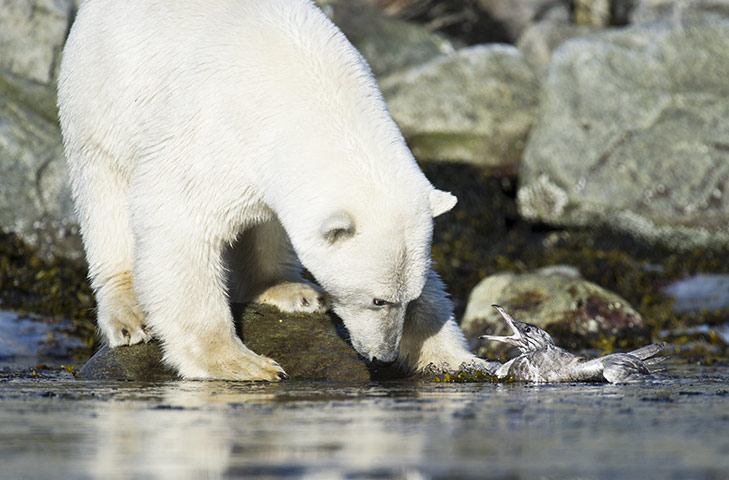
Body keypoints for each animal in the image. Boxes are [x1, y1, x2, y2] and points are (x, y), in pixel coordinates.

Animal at [58, 0, 491, 380]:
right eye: (376, 299)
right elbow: (178, 220)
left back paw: (293, 290)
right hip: (104, 98)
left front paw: (461, 359)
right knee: (106, 196)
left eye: (407, 297)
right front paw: (242, 364)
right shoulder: (213, 132)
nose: (381, 356)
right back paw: (128, 315)